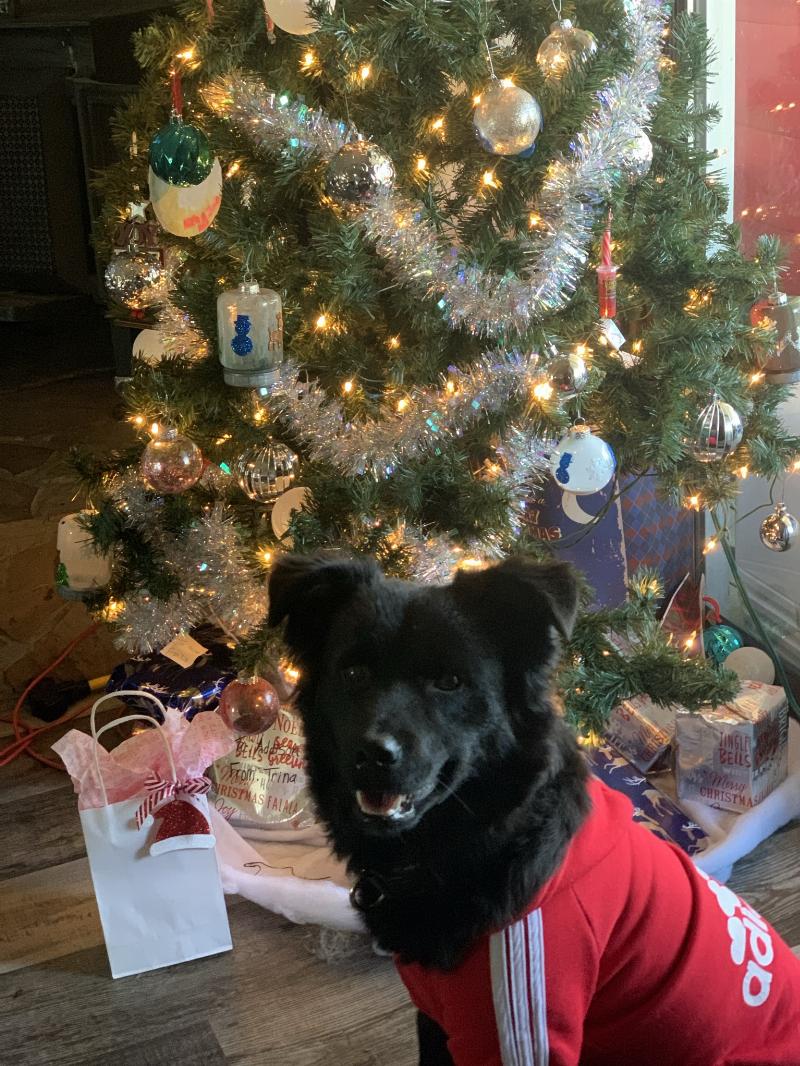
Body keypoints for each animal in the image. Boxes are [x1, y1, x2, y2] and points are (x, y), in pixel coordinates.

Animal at [269, 553, 800, 1066]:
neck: (483, 840)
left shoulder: (516, 1027)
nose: (374, 754)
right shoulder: (438, 1016)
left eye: (450, 681)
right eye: (353, 674)